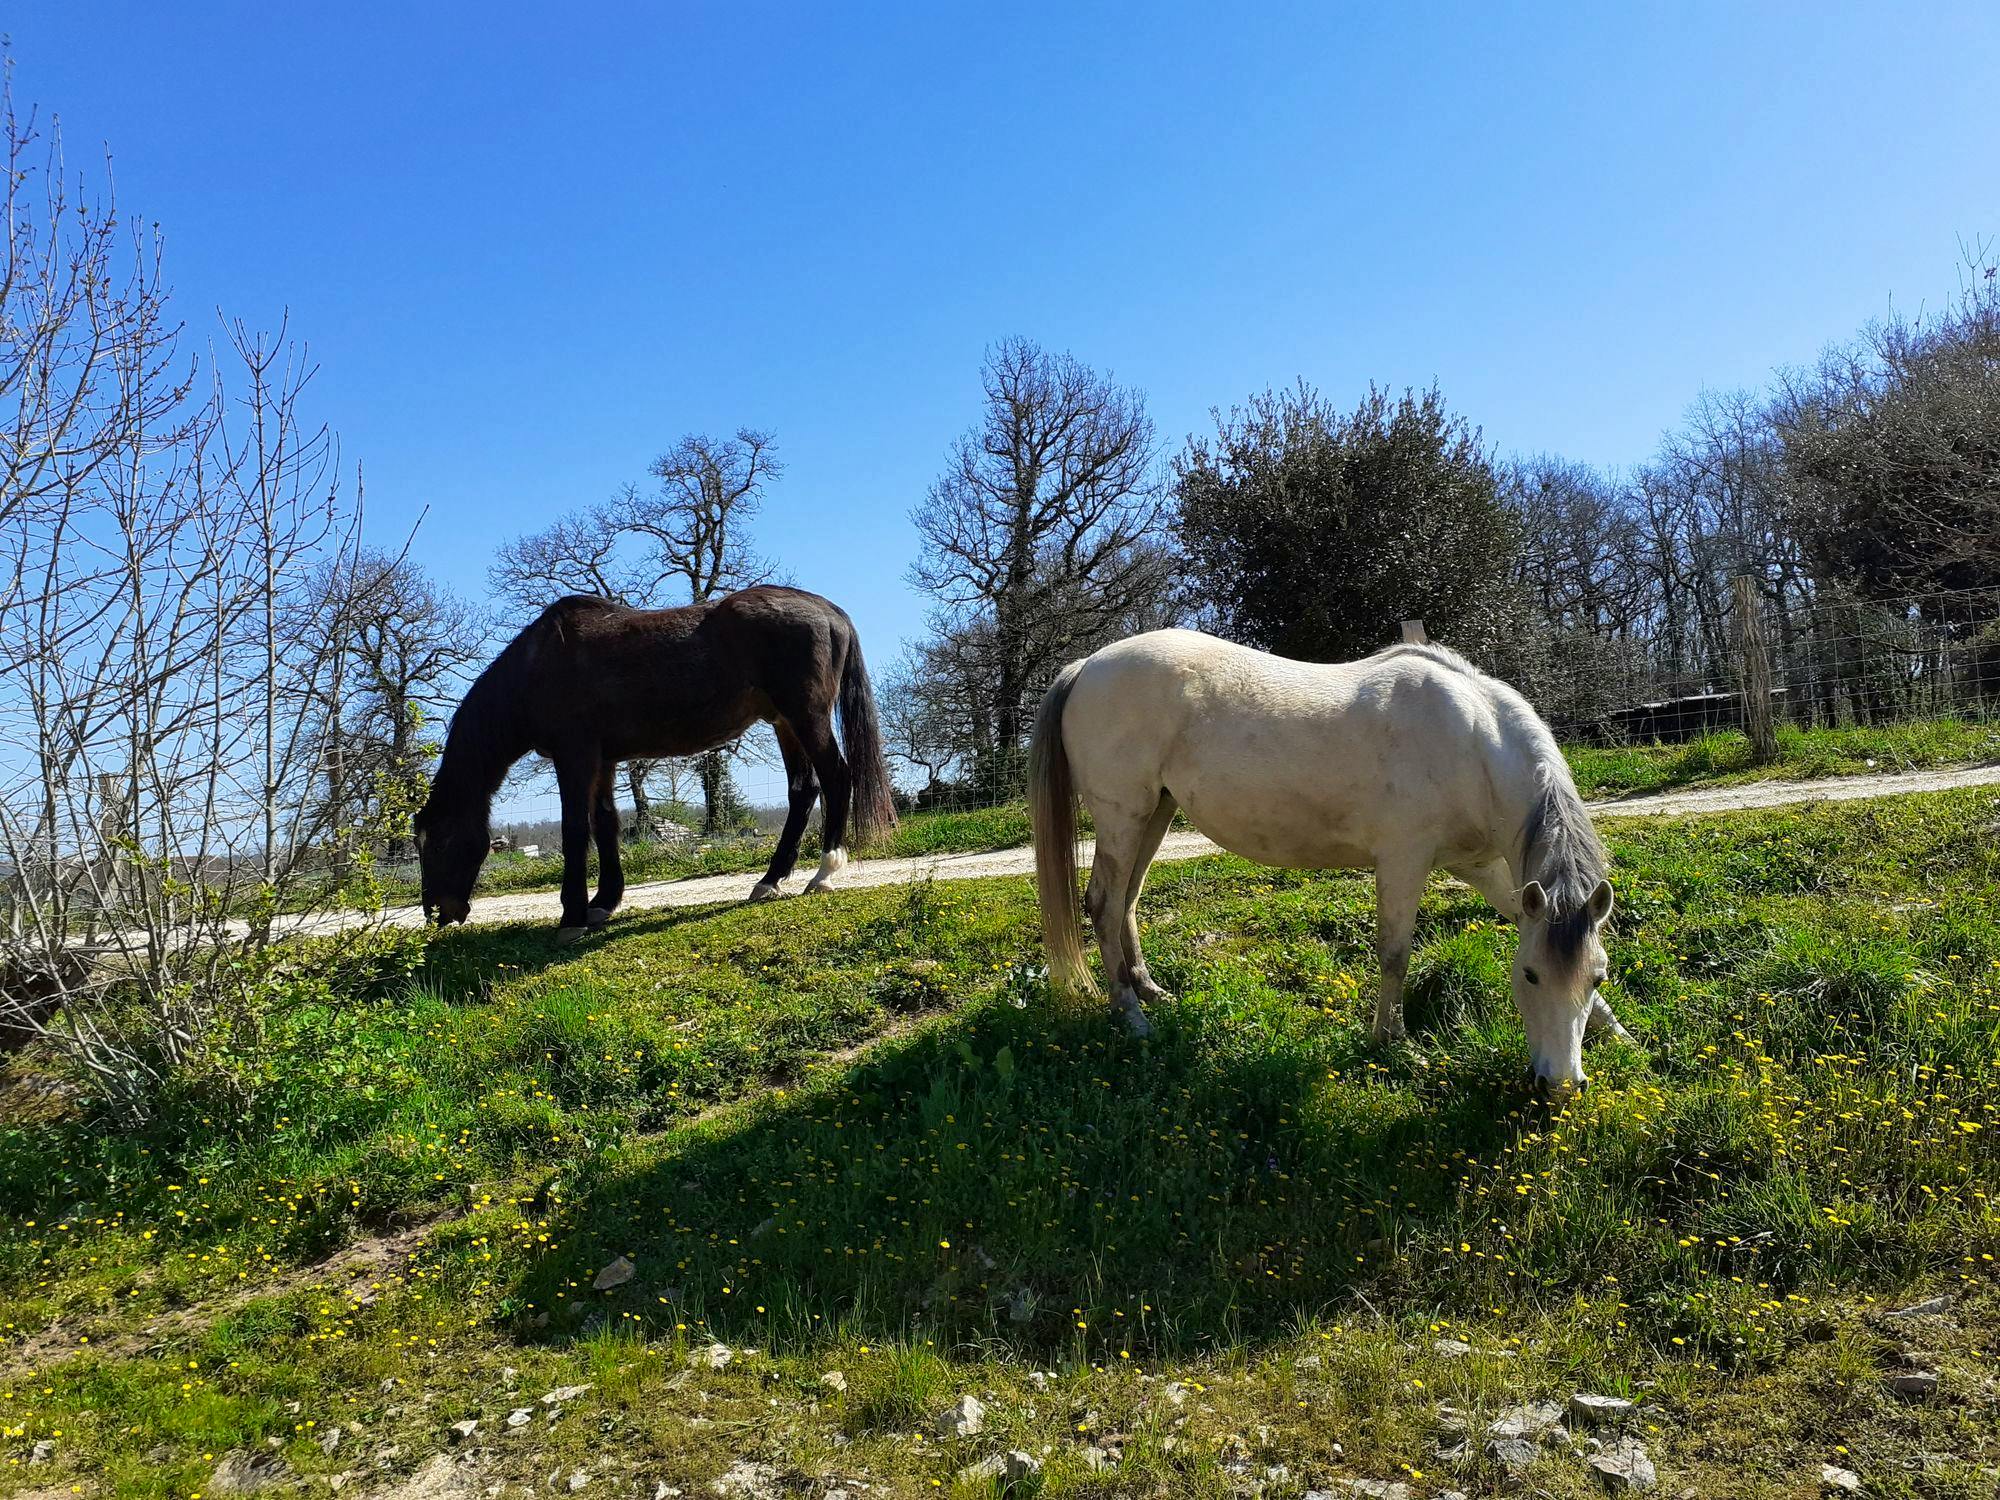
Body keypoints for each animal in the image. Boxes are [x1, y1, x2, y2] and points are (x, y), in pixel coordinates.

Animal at [414, 592, 892, 936]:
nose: (438, 913)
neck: (538, 667)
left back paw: (824, 873)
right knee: (803, 792)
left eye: (437, 843)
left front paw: (571, 916)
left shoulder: (575, 758)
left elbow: (575, 831)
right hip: (783, 722)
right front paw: (603, 902)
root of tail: (828, 610)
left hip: (806, 717)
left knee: (837, 779)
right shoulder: (603, 762)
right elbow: (605, 825)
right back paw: (770, 881)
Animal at [1032, 632, 1624, 1096]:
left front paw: (1618, 1033)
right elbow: (1394, 955)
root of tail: (1088, 665)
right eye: (1529, 975)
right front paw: (1393, 1042)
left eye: (1598, 976)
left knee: (1128, 900)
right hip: (1122, 817)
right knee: (1104, 905)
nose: (1560, 1085)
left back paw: (1150, 991)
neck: (1474, 744)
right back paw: (1131, 1016)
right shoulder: (1403, 861)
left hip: (1155, 811)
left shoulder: (1481, 867)